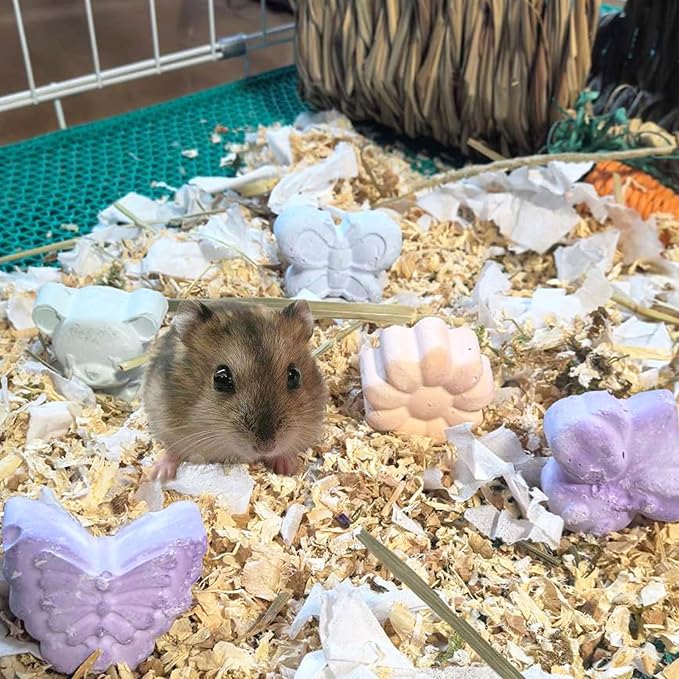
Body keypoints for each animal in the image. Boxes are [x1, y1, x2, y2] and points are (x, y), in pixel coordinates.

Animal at [141, 299, 328, 481]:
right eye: (221, 378)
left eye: (294, 375)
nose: (265, 448)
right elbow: (172, 450)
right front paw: (159, 476)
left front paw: (288, 468)